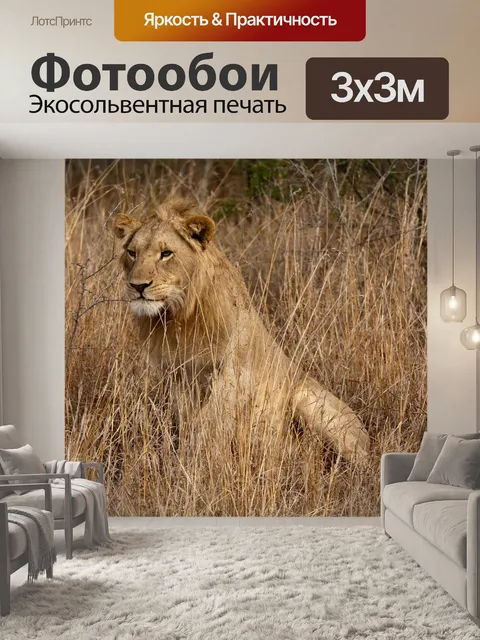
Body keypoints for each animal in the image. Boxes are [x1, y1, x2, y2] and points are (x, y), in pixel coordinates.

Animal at [114, 198, 369, 461]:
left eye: (166, 253)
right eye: (132, 253)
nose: (138, 286)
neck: (179, 315)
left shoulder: (236, 371)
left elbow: (209, 420)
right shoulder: (179, 374)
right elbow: (188, 420)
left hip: (306, 396)